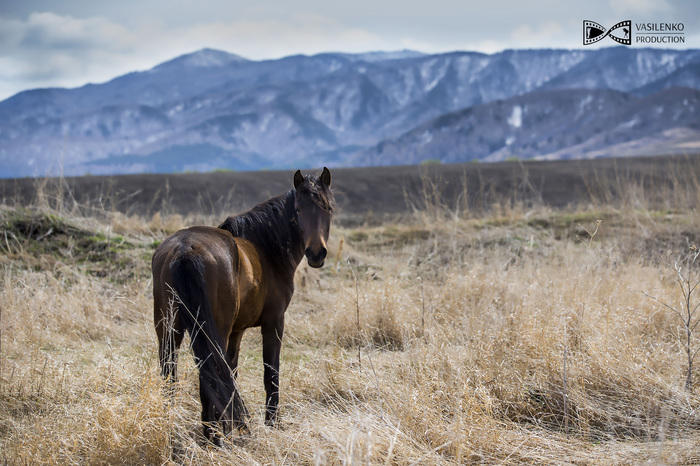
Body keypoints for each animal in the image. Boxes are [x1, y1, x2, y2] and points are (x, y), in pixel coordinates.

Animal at [152, 168, 336, 444]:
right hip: (212, 331)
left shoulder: (236, 332)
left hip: (169, 330)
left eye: (327, 207)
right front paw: (271, 423)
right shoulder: (274, 323)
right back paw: (213, 436)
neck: (266, 249)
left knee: (172, 376)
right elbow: (271, 374)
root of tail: (185, 249)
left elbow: (232, 372)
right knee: (208, 374)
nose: (316, 253)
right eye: (298, 209)